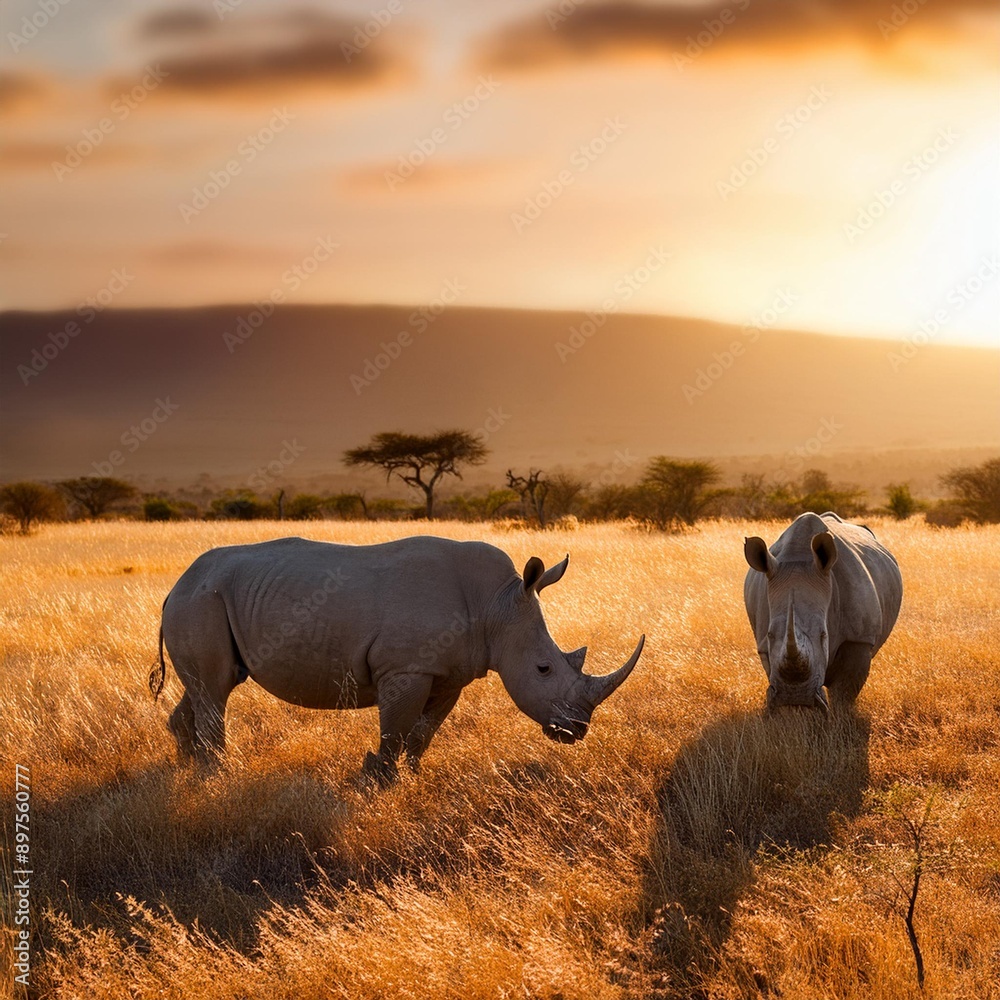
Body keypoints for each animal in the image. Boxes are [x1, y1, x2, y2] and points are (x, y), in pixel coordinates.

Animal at [151, 535, 644, 783]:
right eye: (543, 669)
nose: (575, 731)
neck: (498, 604)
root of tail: (175, 585)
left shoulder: (449, 674)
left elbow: (423, 733)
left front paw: (414, 777)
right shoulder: (405, 668)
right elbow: (394, 730)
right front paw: (379, 781)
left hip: (208, 599)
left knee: (208, 688)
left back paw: (189, 770)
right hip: (200, 601)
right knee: (215, 690)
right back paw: (219, 777)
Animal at [743, 511, 902, 713]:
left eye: (823, 635)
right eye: (770, 635)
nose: (796, 697)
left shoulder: (858, 638)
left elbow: (844, 692)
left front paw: (840, 716)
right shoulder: (764, 644)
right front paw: (797, 712)